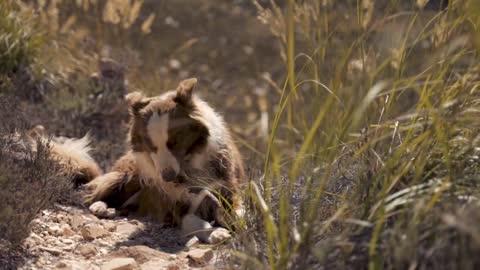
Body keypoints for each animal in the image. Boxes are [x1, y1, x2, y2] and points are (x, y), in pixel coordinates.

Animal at [84, 78, 246, 245]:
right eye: (150, 146)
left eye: (174, 142)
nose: (168, 177)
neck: (190, 166)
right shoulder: (178, 204)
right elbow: (192, 221)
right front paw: (216, 233)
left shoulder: (227, 184)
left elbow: (236, 209)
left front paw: (233, 222)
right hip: (129, 175)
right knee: (102, 190)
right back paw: (100, 206)